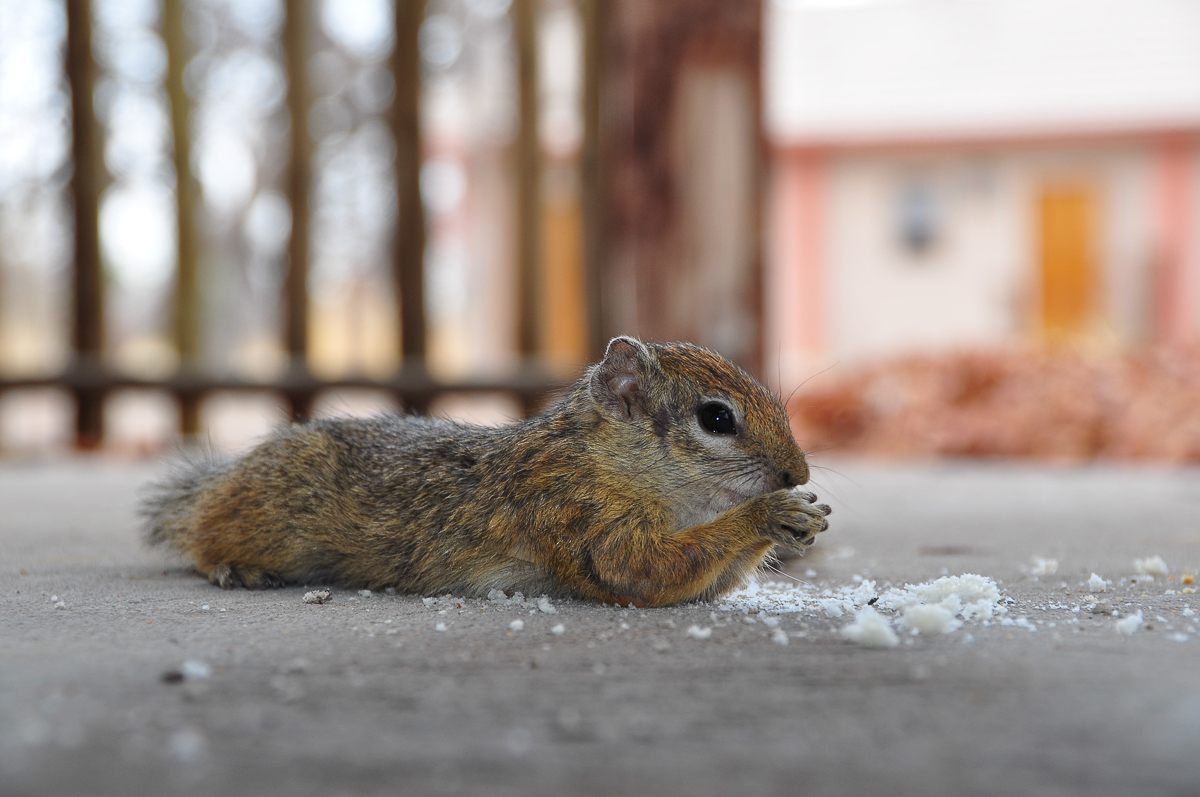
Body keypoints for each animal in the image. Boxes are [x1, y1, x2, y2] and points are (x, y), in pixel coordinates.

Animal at [143, 337, 831, 608]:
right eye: (716, 419)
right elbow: (641, 569)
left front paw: (805, 516)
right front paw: (768, 514)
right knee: (200, 534)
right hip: (267, 517)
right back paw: (229, 563)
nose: (795, 472)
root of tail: (224, 480)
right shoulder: (571, 512)